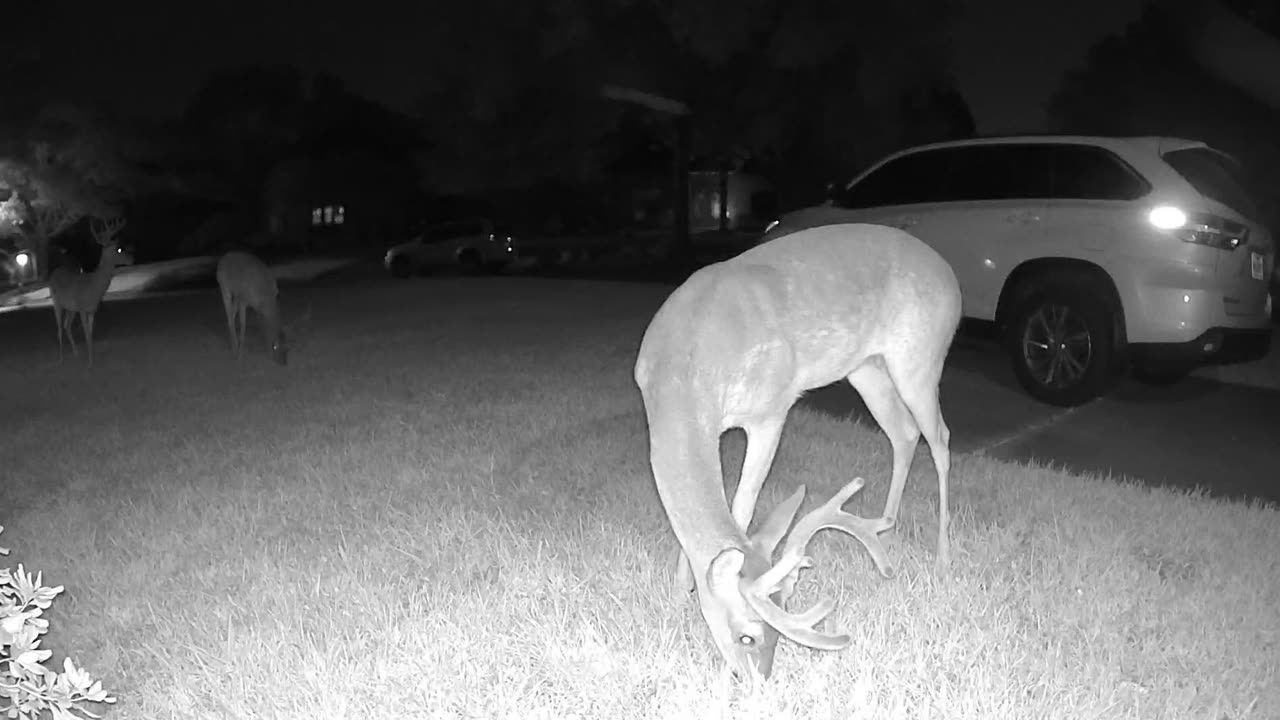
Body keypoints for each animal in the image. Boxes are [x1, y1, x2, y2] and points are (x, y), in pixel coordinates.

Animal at [48, 215, 132, 363]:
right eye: (118, 249)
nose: (132, 259)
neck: (94, 287)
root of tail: (54, 273)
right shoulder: (82, 307)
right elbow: (86, 334)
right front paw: (90, 363)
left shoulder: (92, 309)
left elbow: (91, 334)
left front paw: (91, 358)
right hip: (56, 302)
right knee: (59, 328)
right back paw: (61, 358)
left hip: (70, 308)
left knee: (66, 325)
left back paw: (75, 353)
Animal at [632, 222, 962, 676]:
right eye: (747, 636)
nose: (760, 680)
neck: (684, 370)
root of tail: (953, 281)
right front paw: (682, 587)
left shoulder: (772, 408)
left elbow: (743, 505)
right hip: (867, 368)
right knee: (904, 432)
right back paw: (885, 525)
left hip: (920, 358)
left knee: (941, 438)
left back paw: (943, 557)